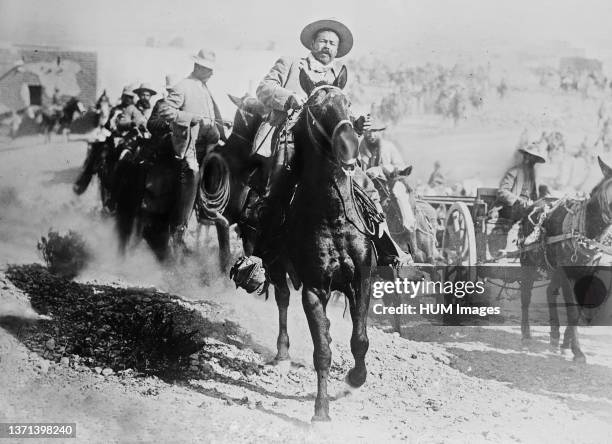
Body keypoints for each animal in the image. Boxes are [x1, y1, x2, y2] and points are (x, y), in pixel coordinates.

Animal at [520, 155, 612, 360]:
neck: (585, 229)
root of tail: (537, 202)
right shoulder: (568, 274)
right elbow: (572, 309)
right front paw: (577, 350)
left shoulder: (586, 272)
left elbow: (578, 308)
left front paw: (567, 343)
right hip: (528, 263)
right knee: (526, 296)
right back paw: (526, 333)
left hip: (556, 269)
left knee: (550, 292)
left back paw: (555, 335)